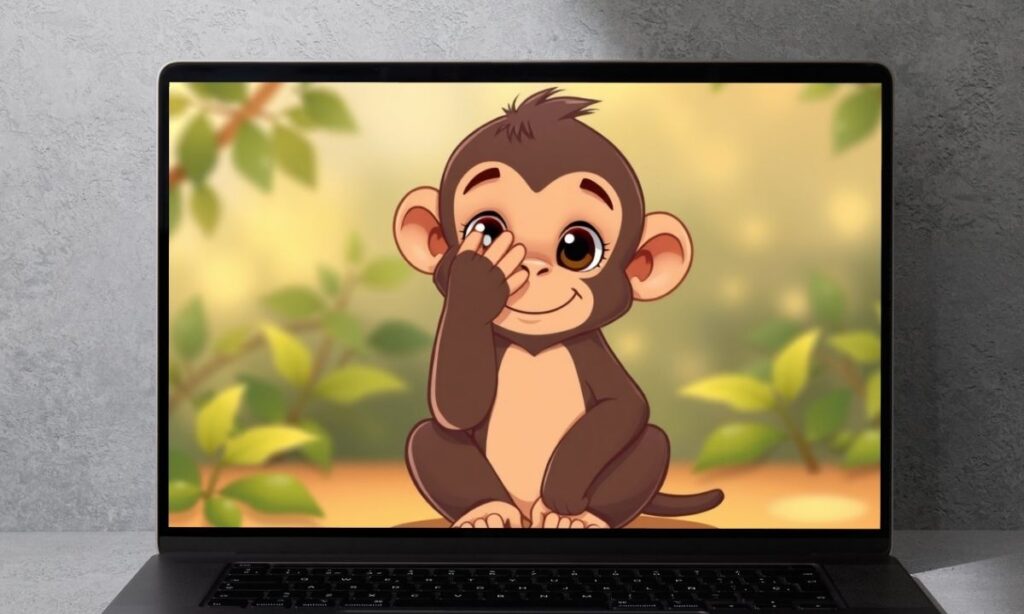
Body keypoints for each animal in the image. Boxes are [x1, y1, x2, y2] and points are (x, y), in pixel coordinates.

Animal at [392, 88, 724, 529]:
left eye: (578, 247)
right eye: (486, 231)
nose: (532, 265)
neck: (536, 346)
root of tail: (525, 511)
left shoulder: (591, 352)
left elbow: (624, 406)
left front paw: (564, 495)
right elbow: (455, 407)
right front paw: (476, 280)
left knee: (652, 443)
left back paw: (578, 517)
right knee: (427, 437)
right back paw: (487, 511)